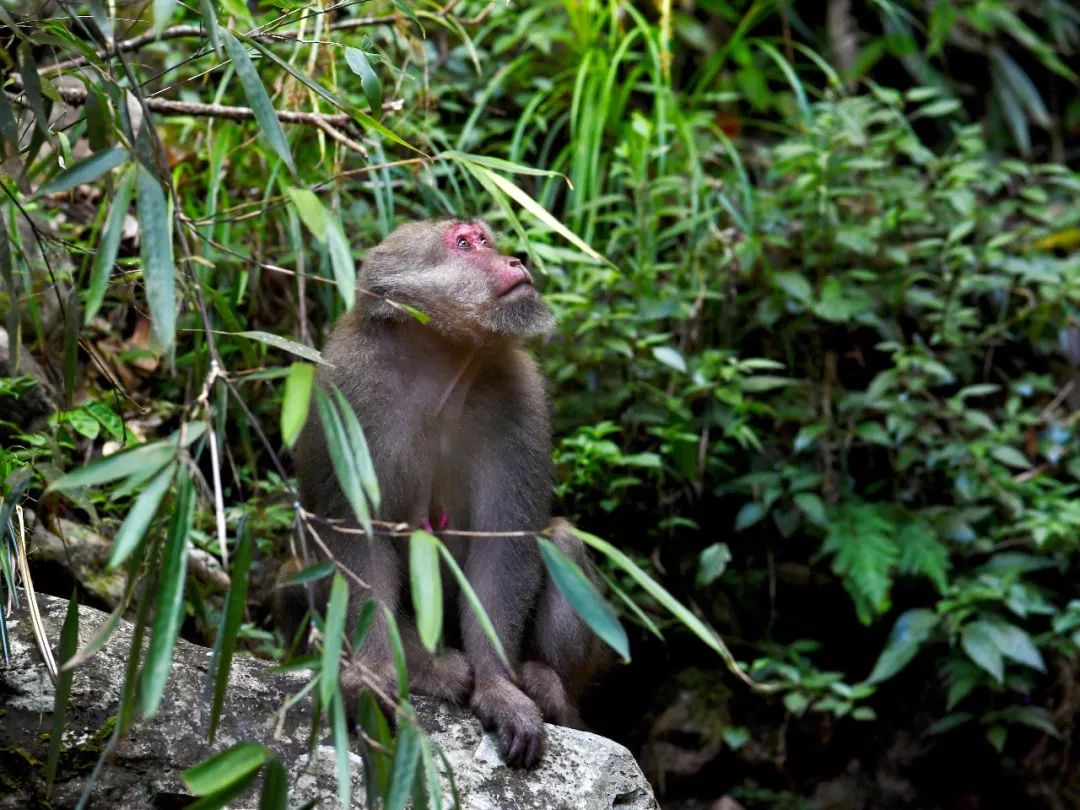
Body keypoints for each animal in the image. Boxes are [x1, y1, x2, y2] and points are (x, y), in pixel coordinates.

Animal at [291, 219, 604, 768]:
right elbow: (357, 541)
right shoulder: (345, 393)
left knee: (561, 541)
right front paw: (373, 674)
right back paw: (429, 669)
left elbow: (502, 550)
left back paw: (548, 685)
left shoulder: (518, 395)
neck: (442, 358)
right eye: (464, 243)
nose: (516, 260)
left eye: (487, 239)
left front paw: (500, 689)